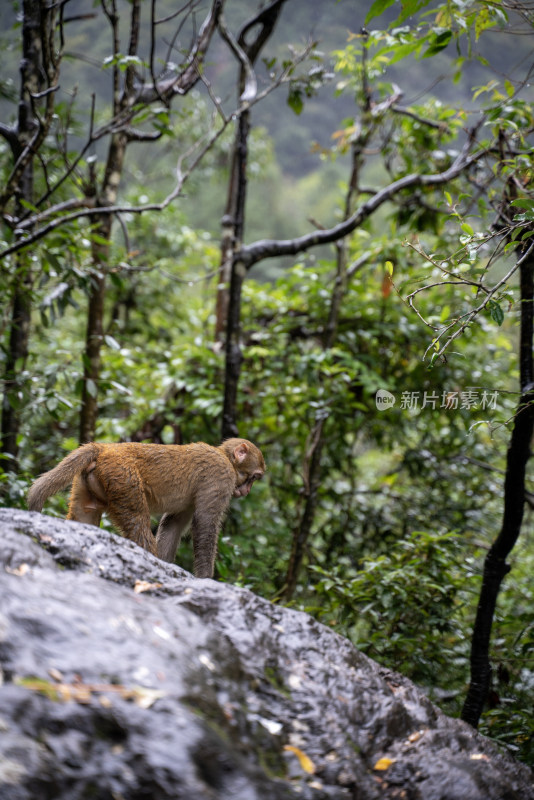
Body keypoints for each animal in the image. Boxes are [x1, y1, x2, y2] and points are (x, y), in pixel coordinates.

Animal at [27, 438, 266, 576]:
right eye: (254, 477)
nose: (247, 491)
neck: (226, 458)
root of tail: (105, 448)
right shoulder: (220, 477)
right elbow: (205, 523)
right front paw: (205, 579)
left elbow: (173, 525)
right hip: (123, 477)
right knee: (137, 522)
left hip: (88, 483)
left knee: (85, 515)